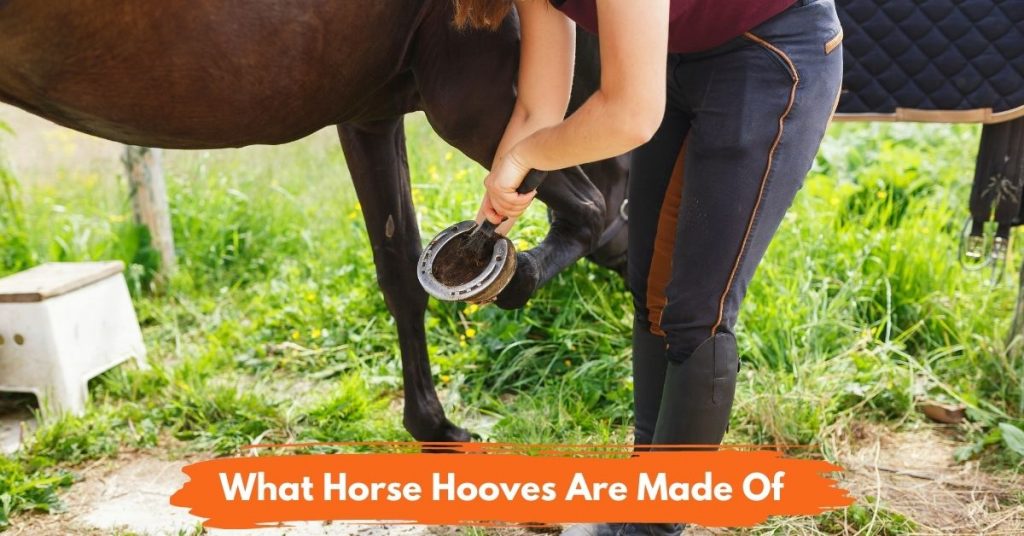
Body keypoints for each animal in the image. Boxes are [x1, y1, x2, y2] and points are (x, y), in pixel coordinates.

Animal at [0, 0, 629, 442]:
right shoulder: (474, 101)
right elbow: (589, 212)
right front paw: (515, 278)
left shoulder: (369, 117)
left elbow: (401, 272)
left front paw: (432, 428)